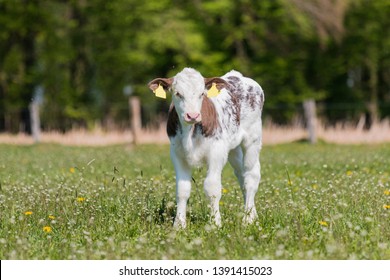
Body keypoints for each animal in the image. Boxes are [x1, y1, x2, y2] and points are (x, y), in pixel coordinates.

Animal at [148, 67, 264, 228]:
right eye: (178, 93)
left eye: (201, 94)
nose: (192, 115)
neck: (190, 134)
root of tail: (237, 76)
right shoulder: (177, 154)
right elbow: (182, 189)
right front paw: (179, 224)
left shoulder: (216, 153)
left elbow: (212, 188)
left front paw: (215, 223)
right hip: (233, 148)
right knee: (241, 175)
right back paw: (253, 214)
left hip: (253, 138)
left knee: (251, 176)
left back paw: (248, 219)